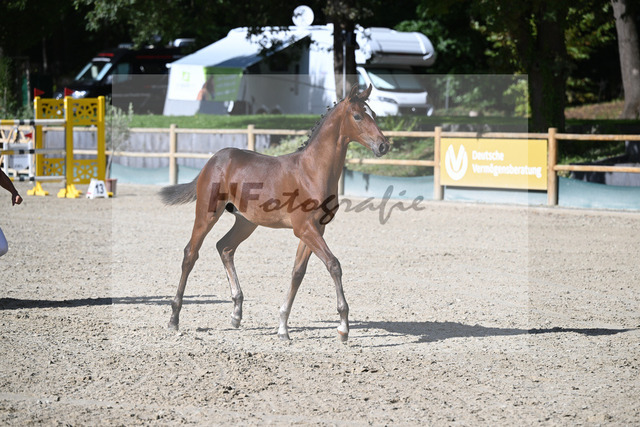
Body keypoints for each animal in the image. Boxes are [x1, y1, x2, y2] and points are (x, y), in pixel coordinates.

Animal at [159, 84, 389, 342]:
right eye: (358, 116)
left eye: (374, 114)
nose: (383, 145)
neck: (312, 170)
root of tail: (213, 160)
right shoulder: (304, 228)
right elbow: (333, 264)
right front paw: (343, 327)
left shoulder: (315, 229)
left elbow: (298, 272)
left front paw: (282, 327)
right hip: (207, 213)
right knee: (191, 253)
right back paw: (174, 318)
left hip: (246, 222)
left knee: (225, 247)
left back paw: (236, 313)